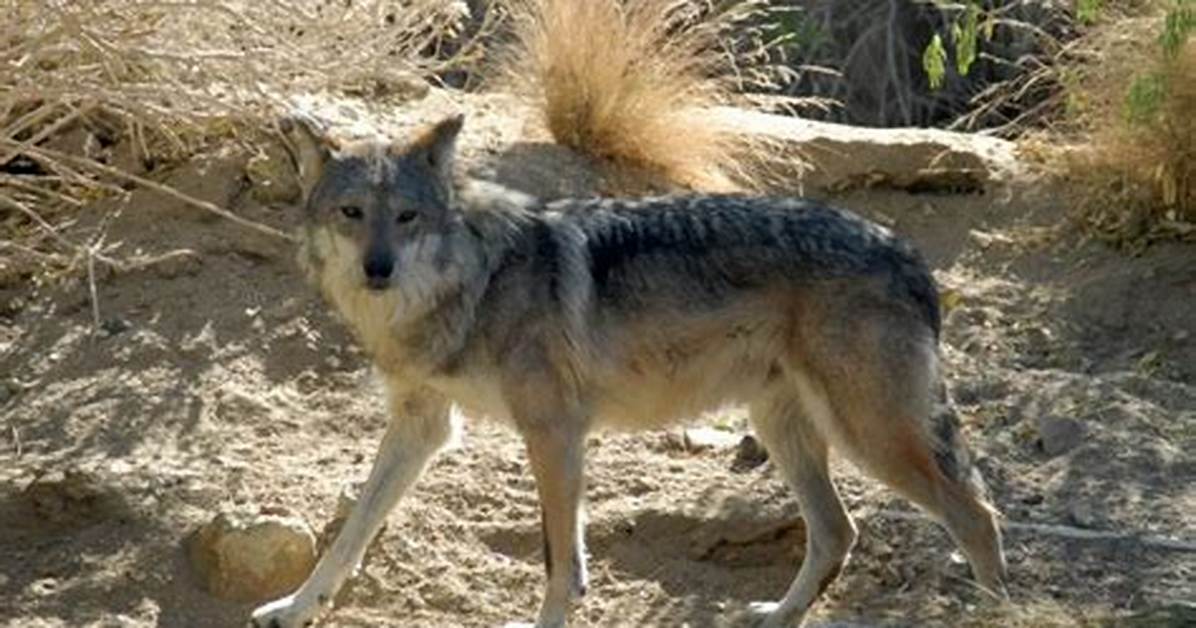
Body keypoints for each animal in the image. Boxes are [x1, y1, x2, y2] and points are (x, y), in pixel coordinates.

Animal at [249, 113, 1007, 628]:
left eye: (407, 217)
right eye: (351, 214)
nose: (378, 270)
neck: (475, 282)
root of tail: (906, 254)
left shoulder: (554, 431)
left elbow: (561, 561)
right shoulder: (423, 426)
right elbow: (350, 531)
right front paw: (295, 605)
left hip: (870, 436)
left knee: (977, 516)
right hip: (788, 429)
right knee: (837, 532)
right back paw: (777, 615)